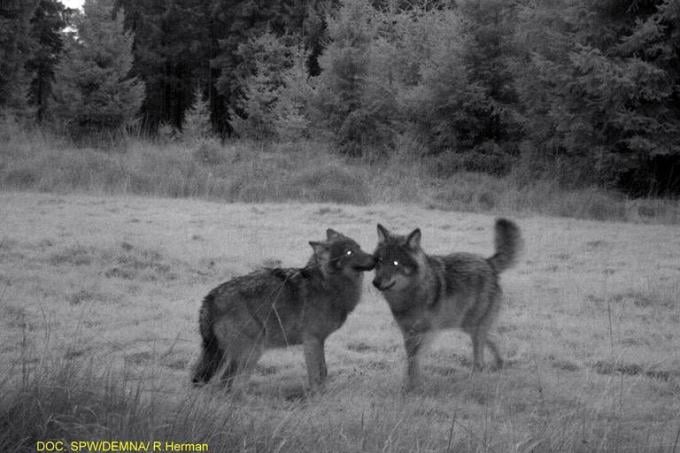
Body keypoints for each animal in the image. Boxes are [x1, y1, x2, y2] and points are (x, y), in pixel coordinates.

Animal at [189, 228, 374, 390]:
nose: (375, 258)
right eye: (349, 252)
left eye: (359, 247)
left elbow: (324, 372)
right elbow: (318, 375)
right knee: (225, 384)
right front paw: (318, 396)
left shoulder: (320, 340)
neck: (328, 285)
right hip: (251, 353)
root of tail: (209, 299)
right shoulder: (312, 340)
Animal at [372, 218, 520, 388]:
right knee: (494, 339)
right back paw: (499, 366)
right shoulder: (408, 334)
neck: (411, 293)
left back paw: (475, 379)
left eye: (396, 263)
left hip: (473, 328)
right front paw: (410, 384)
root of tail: (488, 262)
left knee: (480, 361)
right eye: (380, 260)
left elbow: (415, 361)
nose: (375, 282)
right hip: (468, 326)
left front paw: (413, 387)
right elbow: (411, 362)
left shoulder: (425, 333)